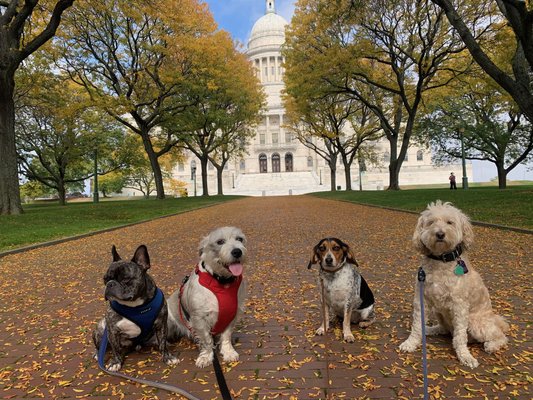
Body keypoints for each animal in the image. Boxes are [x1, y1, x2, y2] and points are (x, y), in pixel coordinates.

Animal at [167, 227, 246, 368]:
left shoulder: (232, 315)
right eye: (220, 241)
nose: (237, 251)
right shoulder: (199, 318)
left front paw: (228, 352)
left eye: (239, 239)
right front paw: (206, 356)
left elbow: (226, 336)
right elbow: (206, 339)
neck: (221, 283)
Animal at [400, 202, 508, 368]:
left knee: (500, 336)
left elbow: (460, 337)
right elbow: (417, 324)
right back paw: (428, 330)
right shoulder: (421, 300)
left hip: (475, 323)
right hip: (439, 312)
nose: (439, 234)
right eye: (431, 222)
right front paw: (411, 343)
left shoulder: (460, 305)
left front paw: (465, 356)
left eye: (449, 222)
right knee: (444, 329)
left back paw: (491, 345)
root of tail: (494, 319)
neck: (441, 261)